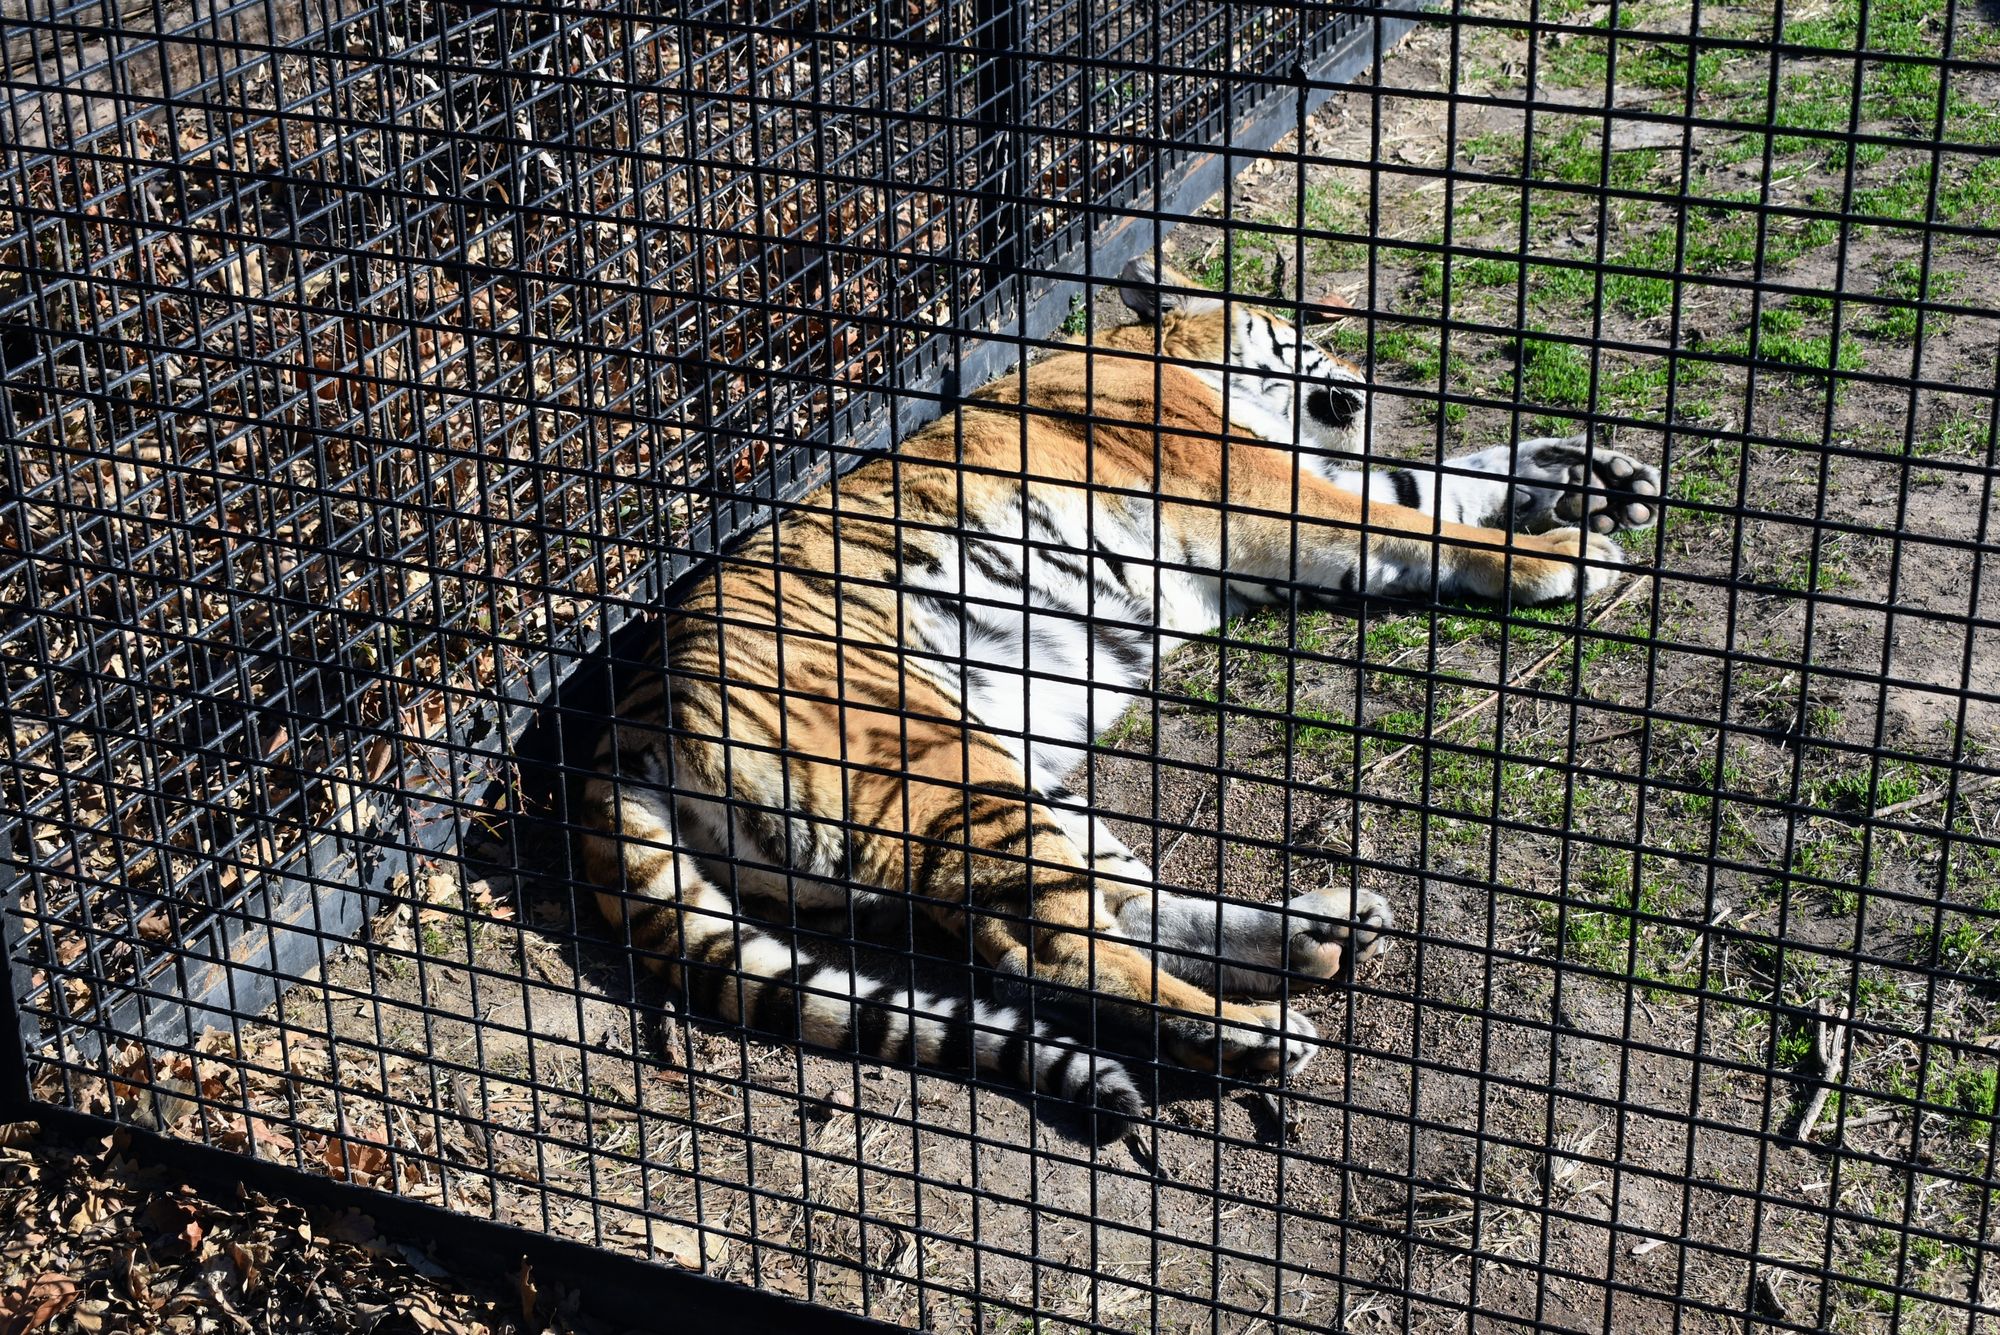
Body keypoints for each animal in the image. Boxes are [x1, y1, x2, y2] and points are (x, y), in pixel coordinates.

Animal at [580, 259, 1661, 1135]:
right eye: (1301, 332)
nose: (1359, 379)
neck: (1168, 358)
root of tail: (625, 718)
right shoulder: (1268, 493)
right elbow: (1416, 518)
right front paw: (1565, 553)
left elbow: (1432, 479)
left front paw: (1594, 472)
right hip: (942, 762)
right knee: (1051, 951)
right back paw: (1254, 1033)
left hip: (1014, 774)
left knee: (1112, 908)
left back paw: (1319, 932)